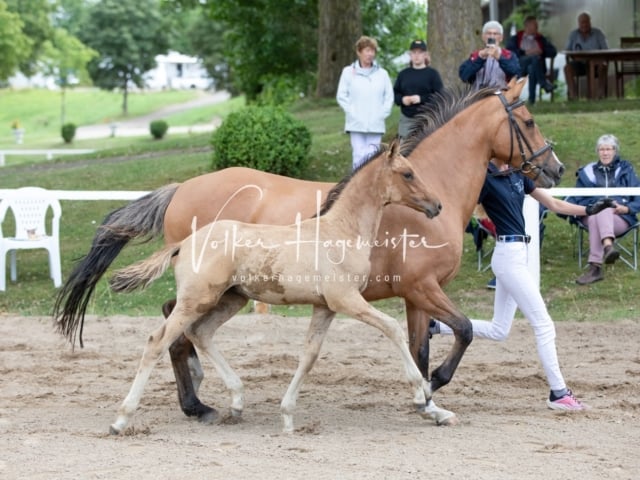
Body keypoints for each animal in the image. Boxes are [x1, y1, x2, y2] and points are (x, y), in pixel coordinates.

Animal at [109, 141, 440, 434]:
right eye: (407, 173)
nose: (436, 205)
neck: (340, 232)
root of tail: (184, 243)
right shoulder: (346, 300)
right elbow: (392, 328)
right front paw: (421, 396)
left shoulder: (324, 307)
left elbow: (309, 356)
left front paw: (287, 416)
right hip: (197, 300)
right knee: (158, 341)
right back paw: (122, 420)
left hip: (230, 300)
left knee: (200, 333)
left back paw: (236, 401)